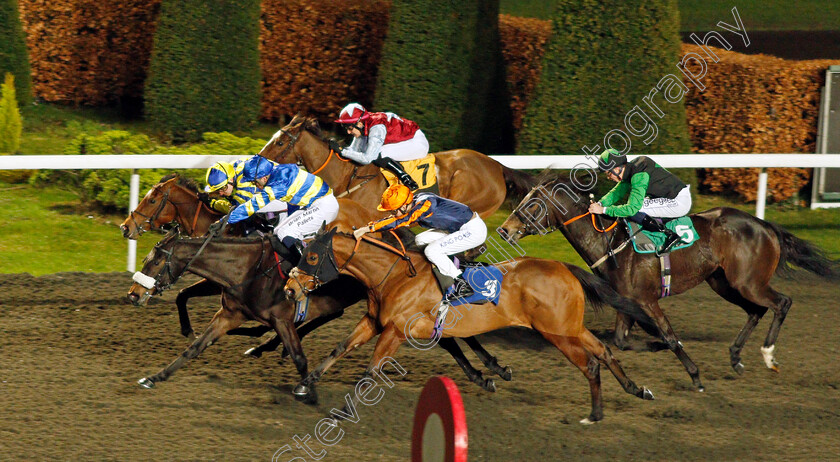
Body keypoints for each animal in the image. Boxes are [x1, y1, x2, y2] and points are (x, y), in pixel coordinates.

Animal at [125, 200, 520, 398]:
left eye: (155, 260)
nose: (133, 293)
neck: (248, 268)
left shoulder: (282, 318)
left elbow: (300, 355)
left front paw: (307, 389)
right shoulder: (230, 313)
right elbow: (193, 349)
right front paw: (154, 377)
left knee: (453, 334)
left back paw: (492, 370)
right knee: (446, 338)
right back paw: (484, 373)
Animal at [282, 226, 656, 424]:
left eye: (311, 257)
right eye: (300, 254)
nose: (289, 289)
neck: (392, 276)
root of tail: (564, 266)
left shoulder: (396, 331)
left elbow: (371, 369)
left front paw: (344, 410)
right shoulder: (374, 321)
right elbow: (339, 348)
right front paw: (304, 385)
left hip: (556, 332)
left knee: (590, 363)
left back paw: (595, 413)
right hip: (570, 326)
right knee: (603, 351)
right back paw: (637, 389)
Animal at [498, 173, 840, 390]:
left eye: (532, 204)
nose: (504, 229)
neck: (611, 242)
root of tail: (766, 225)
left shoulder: (647, 299)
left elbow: (670, 336)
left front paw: (695, 376)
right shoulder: (626, 301)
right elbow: (622, 340)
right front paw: (655, 345)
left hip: (748, 283)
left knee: (782, 302)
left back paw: (768, 356)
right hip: (723, 282)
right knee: (756, 310)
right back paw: (735, 357)